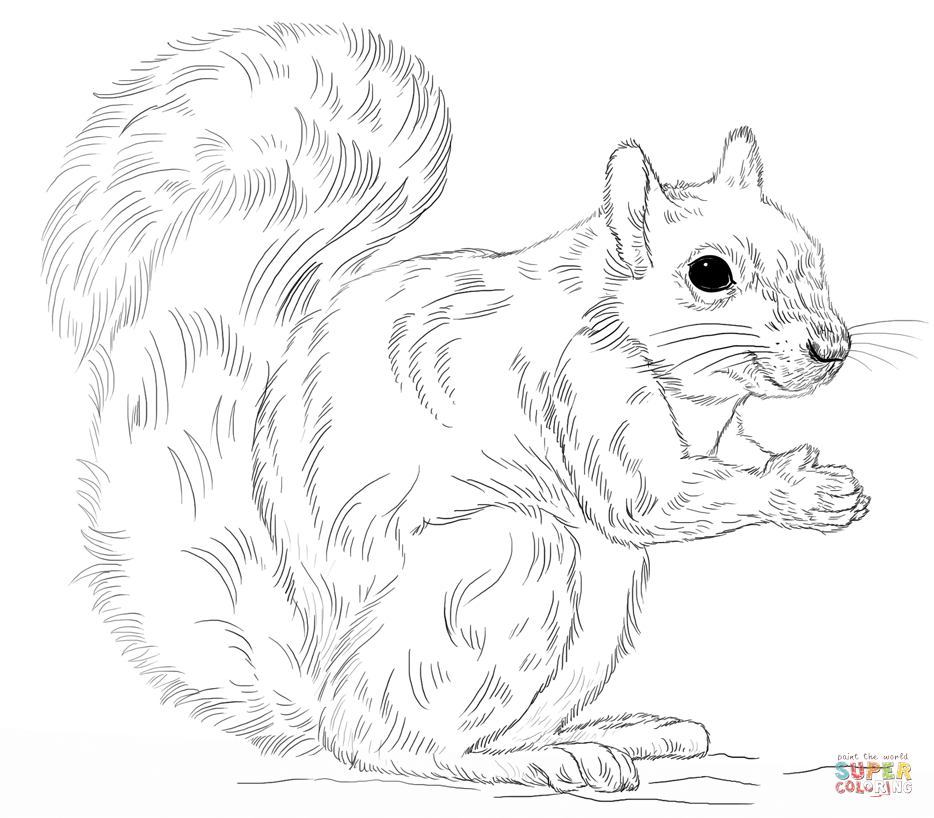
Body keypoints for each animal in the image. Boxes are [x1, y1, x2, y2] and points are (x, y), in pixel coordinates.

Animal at [42, 23, 869, 793]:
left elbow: (730, 459)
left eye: (816, 253)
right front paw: (799, 491)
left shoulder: (714, 430)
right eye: (709, 273)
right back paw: (539, 761)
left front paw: (811, 473)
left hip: (597, 601)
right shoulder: (585, 381)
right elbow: (646, 500)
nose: (832, 349)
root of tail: (319, 686)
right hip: (505, 564)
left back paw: (622, 733)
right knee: (394, 743)